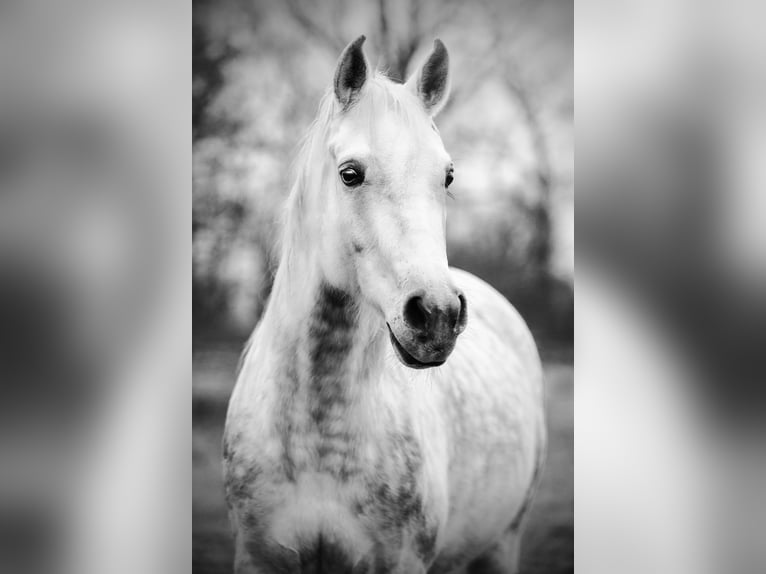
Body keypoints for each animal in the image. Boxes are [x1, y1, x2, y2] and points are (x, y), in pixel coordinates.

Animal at [223, 36, 546, 574]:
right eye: (350, 174)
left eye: (448, 176)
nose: (437, 315)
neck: (318, 437)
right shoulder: (257, 556)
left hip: (505, 542)